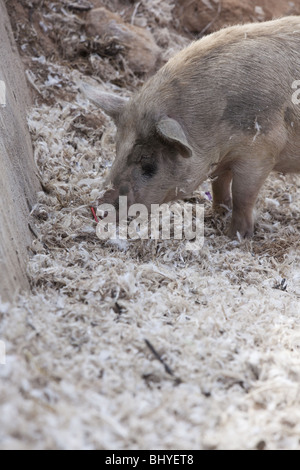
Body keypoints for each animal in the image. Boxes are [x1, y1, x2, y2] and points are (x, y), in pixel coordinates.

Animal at [81, 17, 300, 239]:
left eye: (148, 161)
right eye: (116, 148)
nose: (97, 207)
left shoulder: (260, 153)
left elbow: (243, 196)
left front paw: (234, 237)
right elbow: (219, 184)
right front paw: (217, 215)